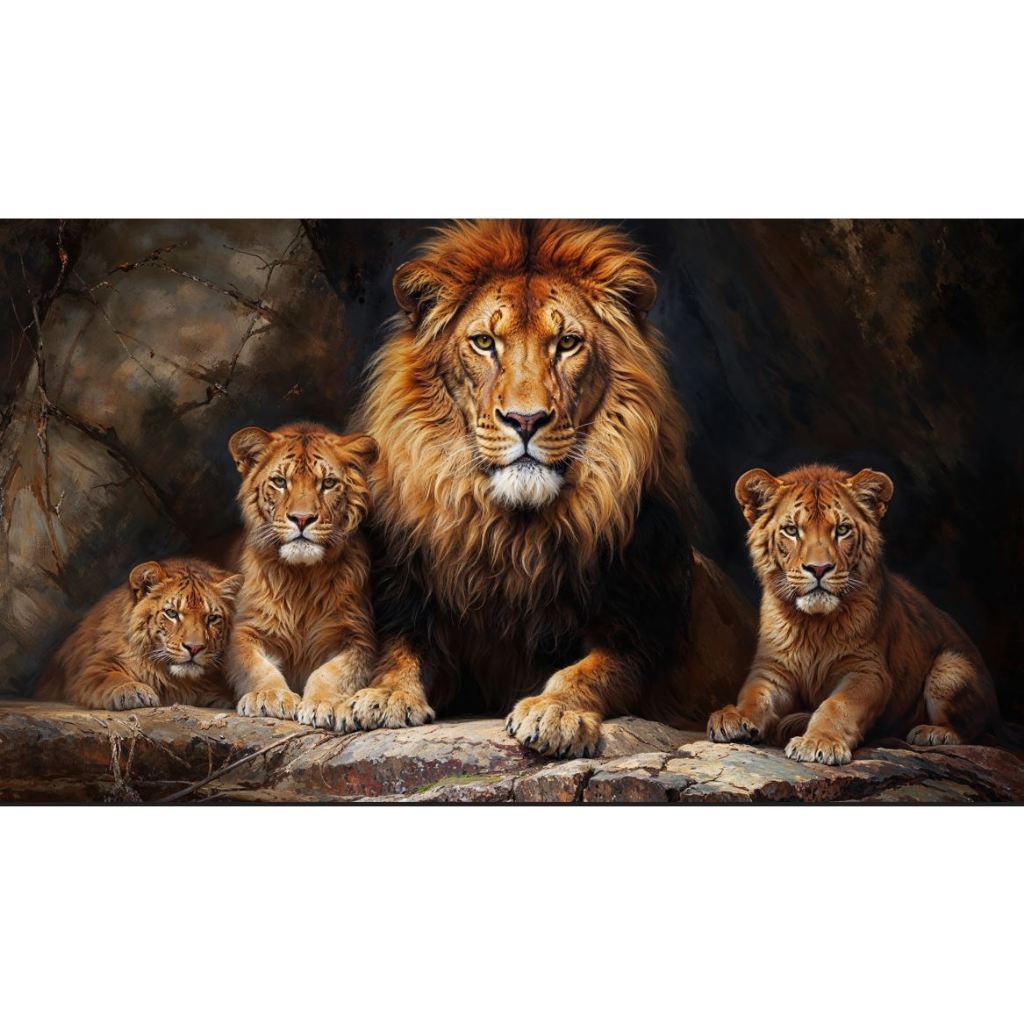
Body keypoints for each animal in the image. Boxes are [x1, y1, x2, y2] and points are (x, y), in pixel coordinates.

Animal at [36, 558, 242, 710]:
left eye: (212, 618)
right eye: (172, 613)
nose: (194, 648)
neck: (177, 680)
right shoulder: (93, 668)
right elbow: (110, 676)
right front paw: (132, 691)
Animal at [226, 422, 381, 729]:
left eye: (328, 484)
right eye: (279, 481)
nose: (301, 518)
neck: (301, 579)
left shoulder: (358, 636)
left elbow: (332, 672)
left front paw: (326, 703)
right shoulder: (244, 629)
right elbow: (254, 665)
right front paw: (269, 697)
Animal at [349, 219, 755, 756]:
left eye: (566, 343)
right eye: (484, 342)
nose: (526, 420)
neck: (515, 536)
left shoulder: (638, 634)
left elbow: (591, 670)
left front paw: (554, 711)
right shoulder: (420, 610)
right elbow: (402, 650)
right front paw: (384, 696)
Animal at [707, 464, 1004, 764]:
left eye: (842, 529)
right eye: (791, 530)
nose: (818, 568)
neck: (812, 624)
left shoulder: (868, 671)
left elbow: (838, 705)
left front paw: (819, 742)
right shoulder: (772, 669)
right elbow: (754, 695)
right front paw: (734, 718)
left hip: (950, 667)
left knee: (975, 730)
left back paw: (933, 733)